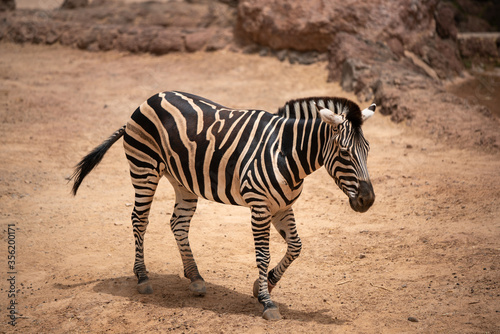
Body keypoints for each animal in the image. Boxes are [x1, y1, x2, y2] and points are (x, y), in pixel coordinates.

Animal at [71, 90, 376, 320]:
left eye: (368, 150)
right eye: (345, 153)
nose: (368, 200)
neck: (285, 152)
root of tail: (149, 99)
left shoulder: (282, 206)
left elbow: (296, 246)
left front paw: (265, 284)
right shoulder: (260, 207)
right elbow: (263, 255)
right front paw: (267, 301)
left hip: (183, 180)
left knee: (178, 223)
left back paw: (195, 277)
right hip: (143, 168)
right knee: (139, 219)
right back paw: (143, 277)